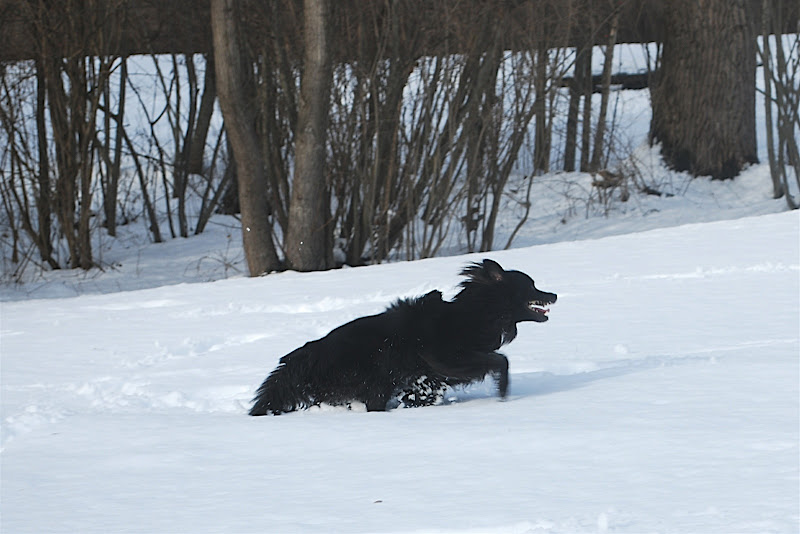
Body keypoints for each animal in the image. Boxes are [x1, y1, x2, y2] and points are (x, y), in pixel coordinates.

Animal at [250, 262, 556, 416]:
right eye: (530, 285)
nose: (553, 294)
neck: (476, 314)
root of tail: (309, 355)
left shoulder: (429, 381)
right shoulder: (450, 360)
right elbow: (501, 360)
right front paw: (503, 393)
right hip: (374, 385)